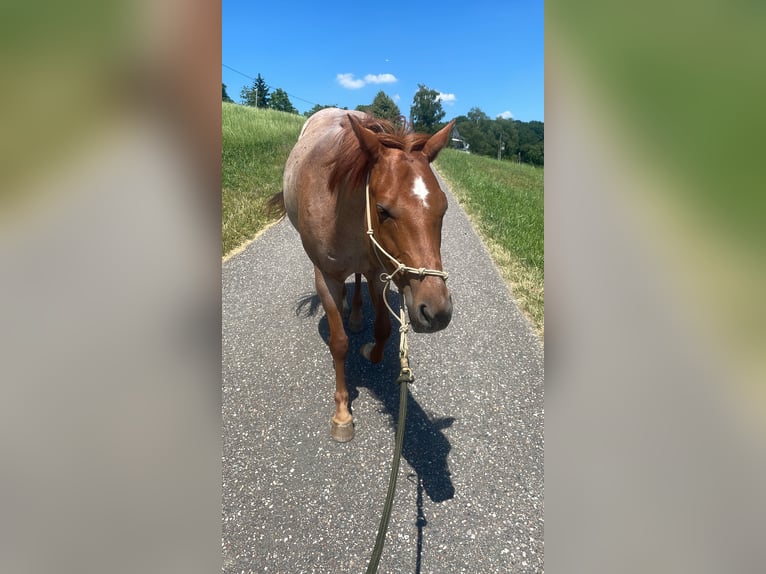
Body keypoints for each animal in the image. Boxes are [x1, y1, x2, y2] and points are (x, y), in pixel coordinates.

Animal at [270, 108, 455, 442]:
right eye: (383, 210)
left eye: (443, 208)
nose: (436, 311)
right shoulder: (327, 278)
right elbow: (339, 343)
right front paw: (342, 413)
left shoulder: (378, 270)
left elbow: (383, 327)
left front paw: (370, 350)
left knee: (355, 281)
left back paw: (355, 314)